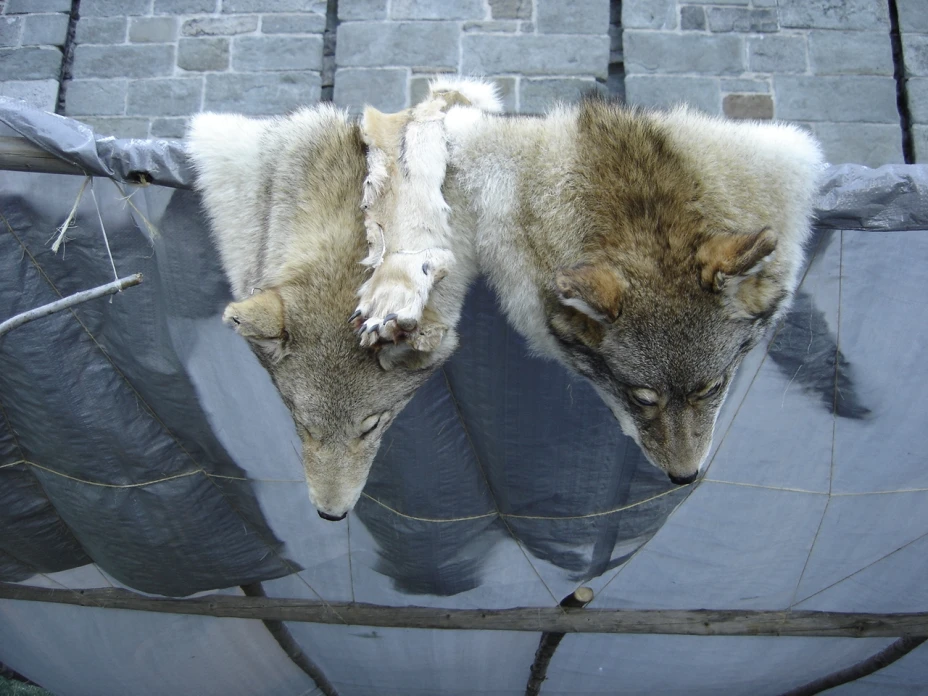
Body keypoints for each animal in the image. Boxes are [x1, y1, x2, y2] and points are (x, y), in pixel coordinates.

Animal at [356, 80, 825, 485]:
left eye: (710, 388)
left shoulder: (784, 157)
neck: (638, 204)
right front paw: (399, 292)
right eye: (642, 397)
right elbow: (420, 162)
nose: (684, 478)